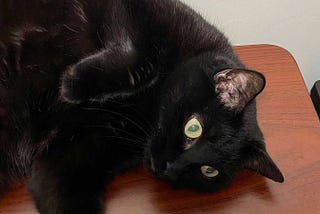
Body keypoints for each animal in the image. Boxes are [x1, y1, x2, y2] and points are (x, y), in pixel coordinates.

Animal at [0, 0, 282, 213]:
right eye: (193, 128)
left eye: (209, 171)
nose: (168, 167)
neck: (147, 111)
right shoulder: (142, 11)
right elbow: (141, 57)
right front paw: (72, 83)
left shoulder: (72, 160)